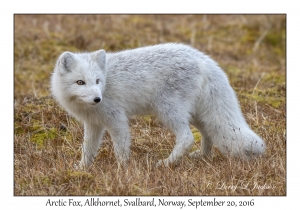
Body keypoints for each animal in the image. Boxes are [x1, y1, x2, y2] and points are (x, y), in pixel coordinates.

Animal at [51, 42, 264, 167]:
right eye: (80, 82)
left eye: (97, 81)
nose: (97, 99)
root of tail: (202, 57)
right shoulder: (94, 124)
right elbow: (87, 150)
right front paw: (81, 169)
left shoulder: (117, 120)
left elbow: (121, 149)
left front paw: (121, 171)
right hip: (195, 115)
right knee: (208, 133)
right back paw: (202, 156)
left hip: (167, 111)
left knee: (187, 138)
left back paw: (167, 163)